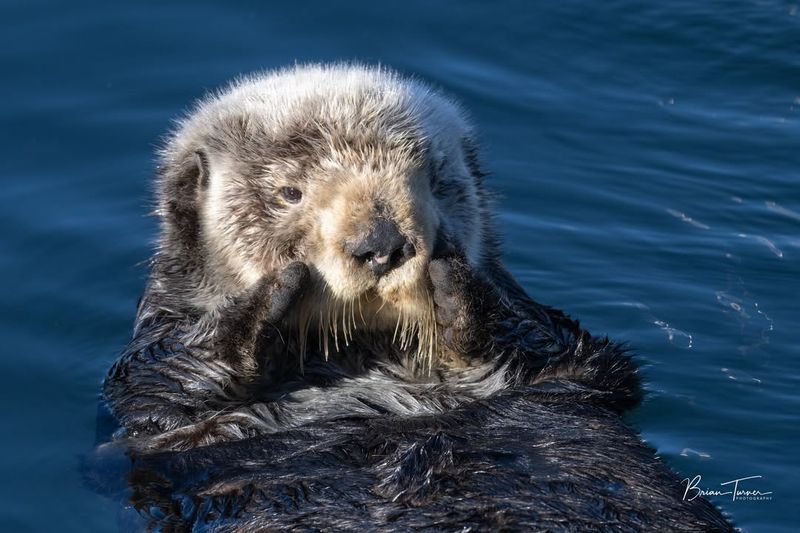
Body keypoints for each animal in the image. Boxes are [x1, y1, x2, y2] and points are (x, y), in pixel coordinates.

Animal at [97, 64, 736, 528]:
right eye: (289, 193)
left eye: (434, 182)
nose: (382, 244)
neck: (366, 359)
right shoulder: (157, 392)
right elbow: (158, 391)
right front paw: (272, 292)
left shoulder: (570, 356)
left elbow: (580, 356)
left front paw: (455, 283)